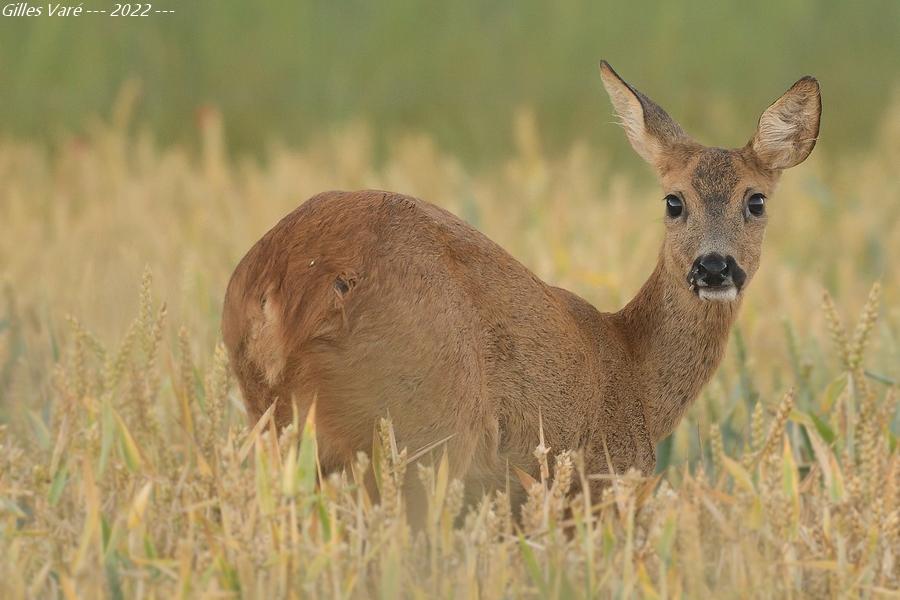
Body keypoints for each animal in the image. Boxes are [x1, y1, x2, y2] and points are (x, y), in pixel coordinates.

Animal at [221, 62, 820, 516]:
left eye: (756, 200)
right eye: (674, 201)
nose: (714, 266)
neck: (636, 374)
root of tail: (283, 282)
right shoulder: (594, 482)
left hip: (276, 420)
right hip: (424, 427)